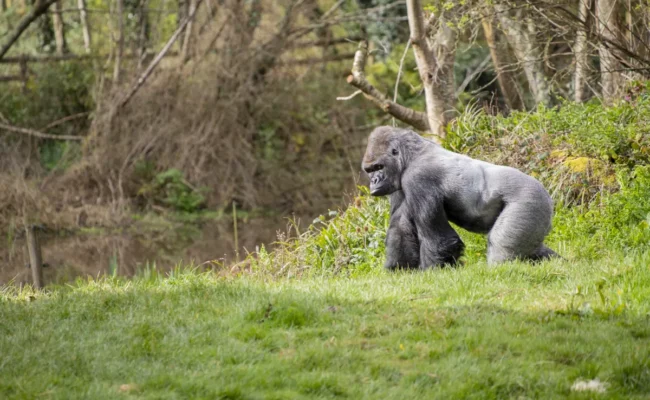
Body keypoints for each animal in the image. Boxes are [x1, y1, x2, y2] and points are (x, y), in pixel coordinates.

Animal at [360, 126, 556, 268]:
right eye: (369, 170)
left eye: (379, 167)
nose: (374, 181)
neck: (412, 154)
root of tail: (547, 196)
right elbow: (400, 227)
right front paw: (398, 269)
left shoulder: (418, 177)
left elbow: (438, 239)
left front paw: (431, 273)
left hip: (529, 200)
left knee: (501, 247)